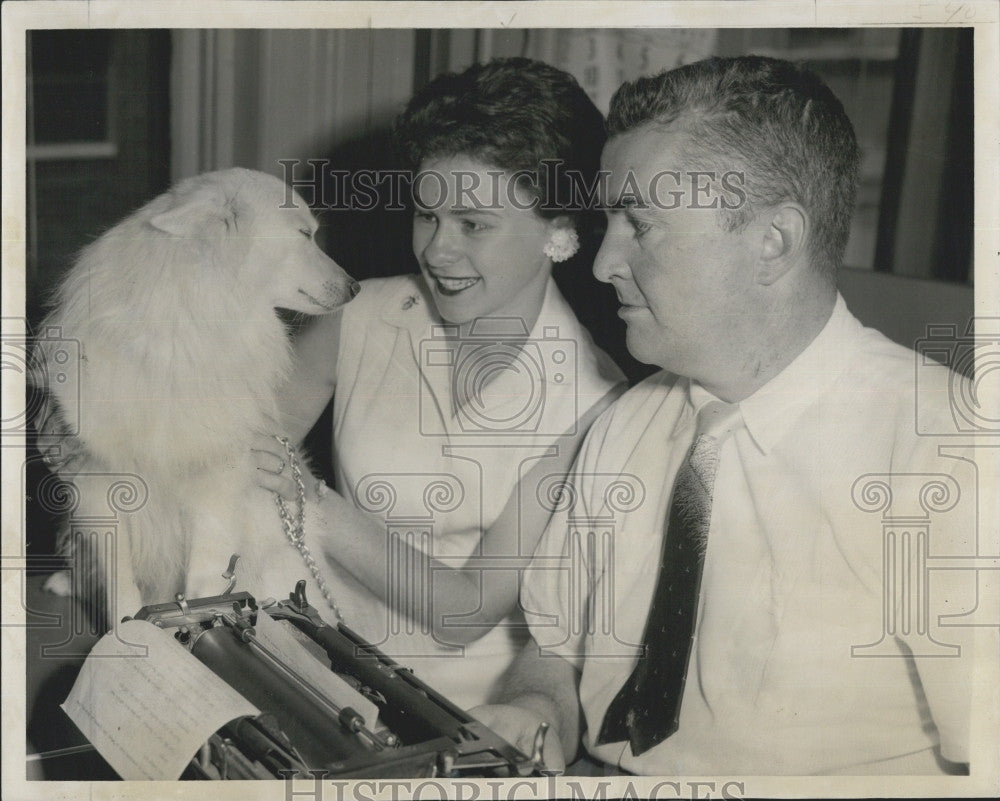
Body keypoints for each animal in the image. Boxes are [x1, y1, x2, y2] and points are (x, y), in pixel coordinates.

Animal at [37, 166, 358, 620]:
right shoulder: (98, 485)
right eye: (303, 234)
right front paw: (124, 629)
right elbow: (121, 588)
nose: (355, 288)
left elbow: (205, 580)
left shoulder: (213, 488)